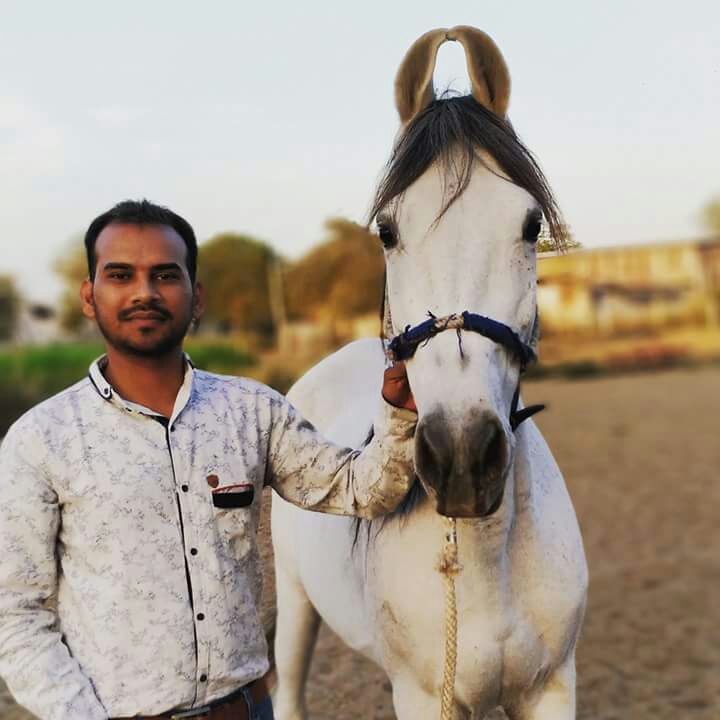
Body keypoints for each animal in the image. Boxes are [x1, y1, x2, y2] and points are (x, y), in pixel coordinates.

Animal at [271, 26, 588, 720]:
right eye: (387, 231)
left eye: (530, 225)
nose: (462, 457)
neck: (483, 559)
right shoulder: (421, 695)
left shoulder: (551, 686)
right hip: (294, 602)